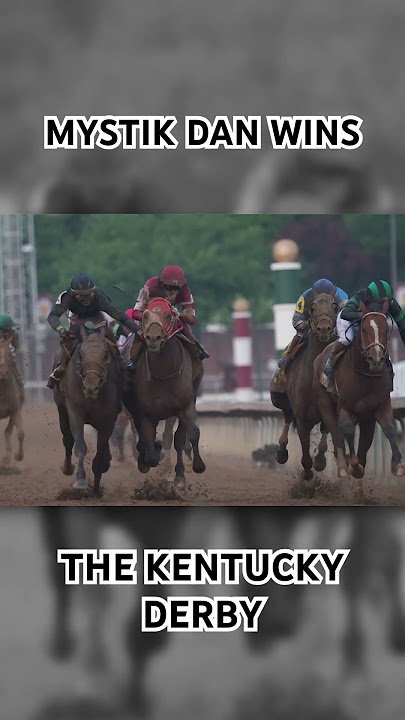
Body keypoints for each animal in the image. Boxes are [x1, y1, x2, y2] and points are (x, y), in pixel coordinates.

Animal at [53, 324, 123, 498]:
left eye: (105, 355)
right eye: (81, 355)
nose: (91, 387)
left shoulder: (108, 419)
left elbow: (100, 453)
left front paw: (96, 491)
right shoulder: (75, 412)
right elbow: (80, 446)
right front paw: (80, 481)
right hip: (61, 408)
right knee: (67, 438)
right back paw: (67, 467)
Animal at [122, 298, 205, 490]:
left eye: (168, 315)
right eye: (145, 315)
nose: (154, 338)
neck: (163, 373)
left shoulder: (185, 406)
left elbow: (190, 434)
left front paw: (196, 466)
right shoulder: (144, 413)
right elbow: (149, 447)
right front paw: (150, 456)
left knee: (178, 438)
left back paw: (180, 476)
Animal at [270, 290, 340, 480]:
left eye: (334, 306)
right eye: (312, 307)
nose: (324, 329)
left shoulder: (328, 410)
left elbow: (324, 437)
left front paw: (320, 461)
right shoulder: (302, 418)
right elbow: (305, 456)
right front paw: (307, 476)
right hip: (281, 397)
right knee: (287, 417)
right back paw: (281, 452)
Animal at [312, 300, 404, 480]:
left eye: (385, 329)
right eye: (364, 329)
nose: (376, 359)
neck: (365, 376)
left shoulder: (380, 406)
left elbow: (389, 428)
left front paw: (397, 464)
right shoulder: (345, 407)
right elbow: (347, 430)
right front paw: (353, 466)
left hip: (366, 418)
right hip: (325, 404)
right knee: (337, 434)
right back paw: (342, 466)